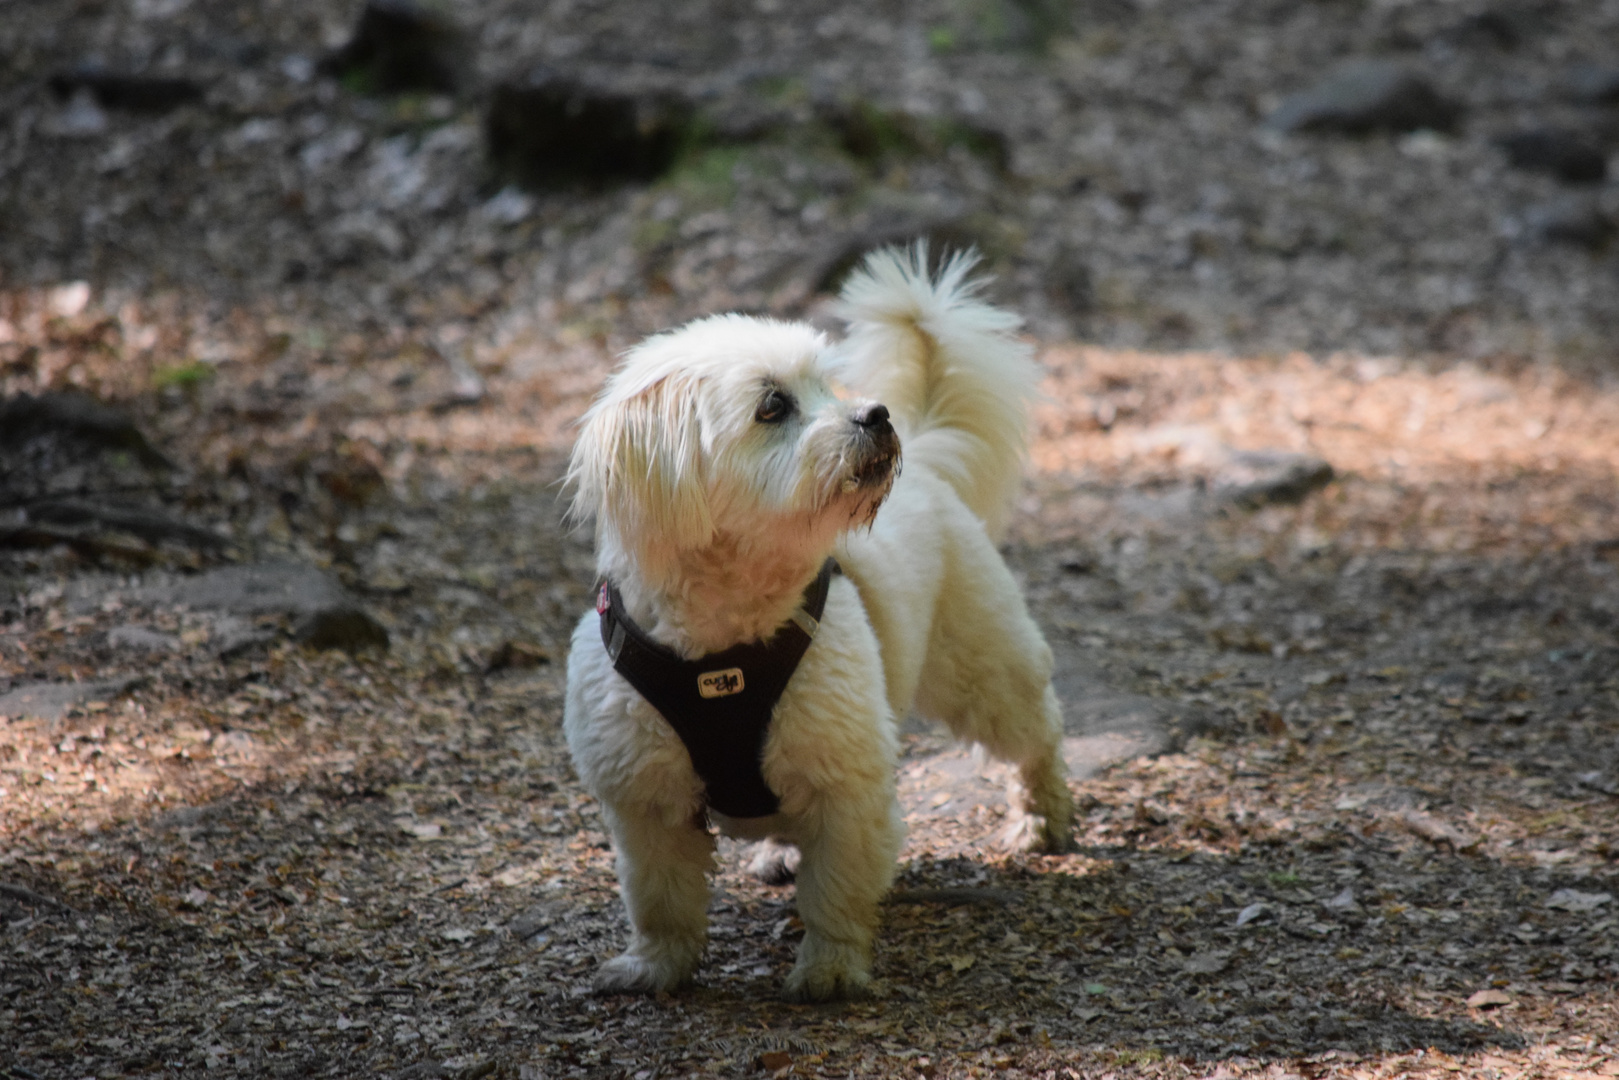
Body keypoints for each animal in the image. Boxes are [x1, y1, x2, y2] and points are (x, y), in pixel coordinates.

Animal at [563, 247, 1068, 1003]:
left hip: (984, 675)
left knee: (1037, 734)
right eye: (773, 405)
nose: (875, 414)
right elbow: (661, 900)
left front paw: (828, 970)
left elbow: (835, 891)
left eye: (826, 383)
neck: (723, 647)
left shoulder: (847, 790)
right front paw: (655, 967)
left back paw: (1043, 818)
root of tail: (927, 453)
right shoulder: (646, 806)